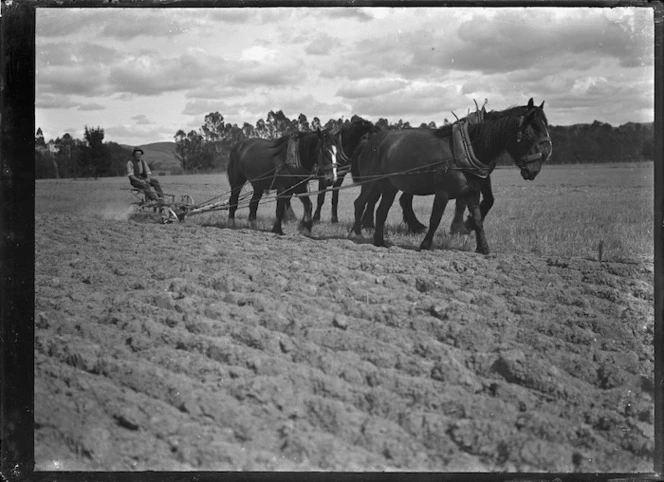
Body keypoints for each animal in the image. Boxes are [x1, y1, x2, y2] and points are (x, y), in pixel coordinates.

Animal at [350, 99, 552, 256]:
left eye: (545, 129)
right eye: (529, 134)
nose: (536, 168)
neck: (463, 148)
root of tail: (371, 141)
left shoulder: (473, 191)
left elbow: (478, 218)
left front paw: (483, 247)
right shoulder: (443, 192)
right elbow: (435, 219)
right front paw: (425, 245)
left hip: (390, 186)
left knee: (381, 210)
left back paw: (379, 242)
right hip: (371, 182)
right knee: (360, 203)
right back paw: (356, 234)